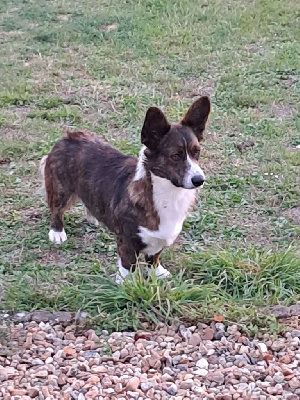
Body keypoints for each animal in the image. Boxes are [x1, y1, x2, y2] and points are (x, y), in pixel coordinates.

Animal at [39, 95, 211, 282]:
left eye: (197, 152)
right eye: (175, 156)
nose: (199, 180)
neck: (168, 194)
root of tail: (67, 136)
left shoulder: (159, 239)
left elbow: (154, 257)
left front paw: (158, 273)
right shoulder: (127, 242)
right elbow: (128, 267)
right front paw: (126, 284)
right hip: (60, 190)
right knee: (56, 210)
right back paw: (57, 232)